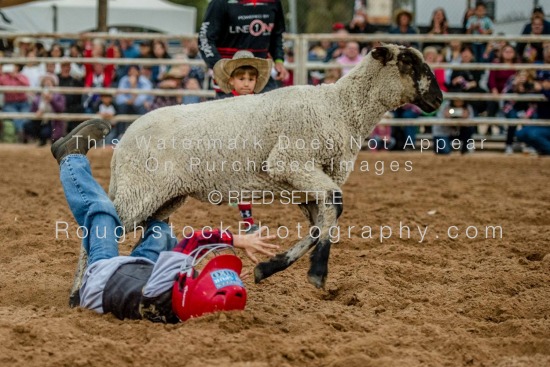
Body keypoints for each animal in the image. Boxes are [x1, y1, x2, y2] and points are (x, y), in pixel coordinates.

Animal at [96, 44, 444, 294]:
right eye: (408, 62)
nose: (439, 98)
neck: (340, 108)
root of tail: (124, 139)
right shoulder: (290, 162)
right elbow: (335, 206)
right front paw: (318, 274)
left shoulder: (305, 184)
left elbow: (320, 225)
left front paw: (267, 269)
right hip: (139, 192)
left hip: (164, 200)